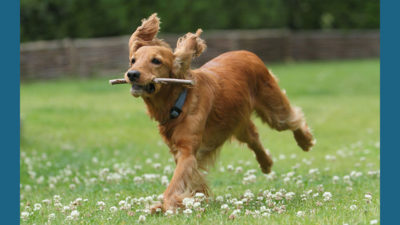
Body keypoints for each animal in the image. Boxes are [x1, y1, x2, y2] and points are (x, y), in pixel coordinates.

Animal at [123, 13, 314, 211]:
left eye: (156, 61)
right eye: (133, 60)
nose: (132, 74)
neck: (179, 101)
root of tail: (247, 52)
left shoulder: (187, 151)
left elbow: (175, 184)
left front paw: (167, 205)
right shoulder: (181, 152)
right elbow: (191, 181)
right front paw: (192, 199)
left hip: (274, 110)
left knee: (294, 119)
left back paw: (305, 141)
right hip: (237, 122)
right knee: (254, 137)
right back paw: (266, 163)